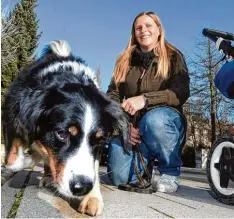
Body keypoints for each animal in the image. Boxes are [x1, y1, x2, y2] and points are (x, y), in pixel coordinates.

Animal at [1, 40, 129, 216]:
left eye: (100, 139)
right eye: (62, 134)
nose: (82, 188)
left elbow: (94, 166)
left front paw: (92, 197)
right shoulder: (12, 115)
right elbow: (16, 156)